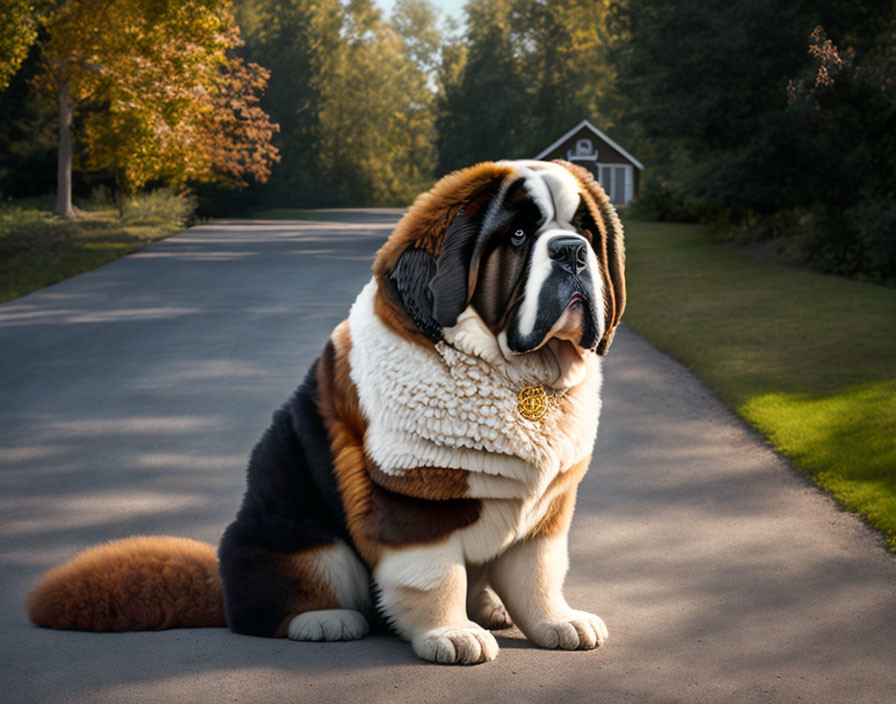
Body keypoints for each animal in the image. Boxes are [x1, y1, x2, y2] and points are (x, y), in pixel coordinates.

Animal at [26, 160, 624, 664]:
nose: (571, 251)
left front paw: (557, 622)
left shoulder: (546, 508)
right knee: (272, 606)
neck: (518, 376)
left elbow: (538, 573)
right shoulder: (412, 499)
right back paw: (324, 620)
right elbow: (436, 575)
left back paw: (490, 610)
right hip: (302, 539)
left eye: (587, 234)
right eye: (518, 237)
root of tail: (221, 581)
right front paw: (450, 634)